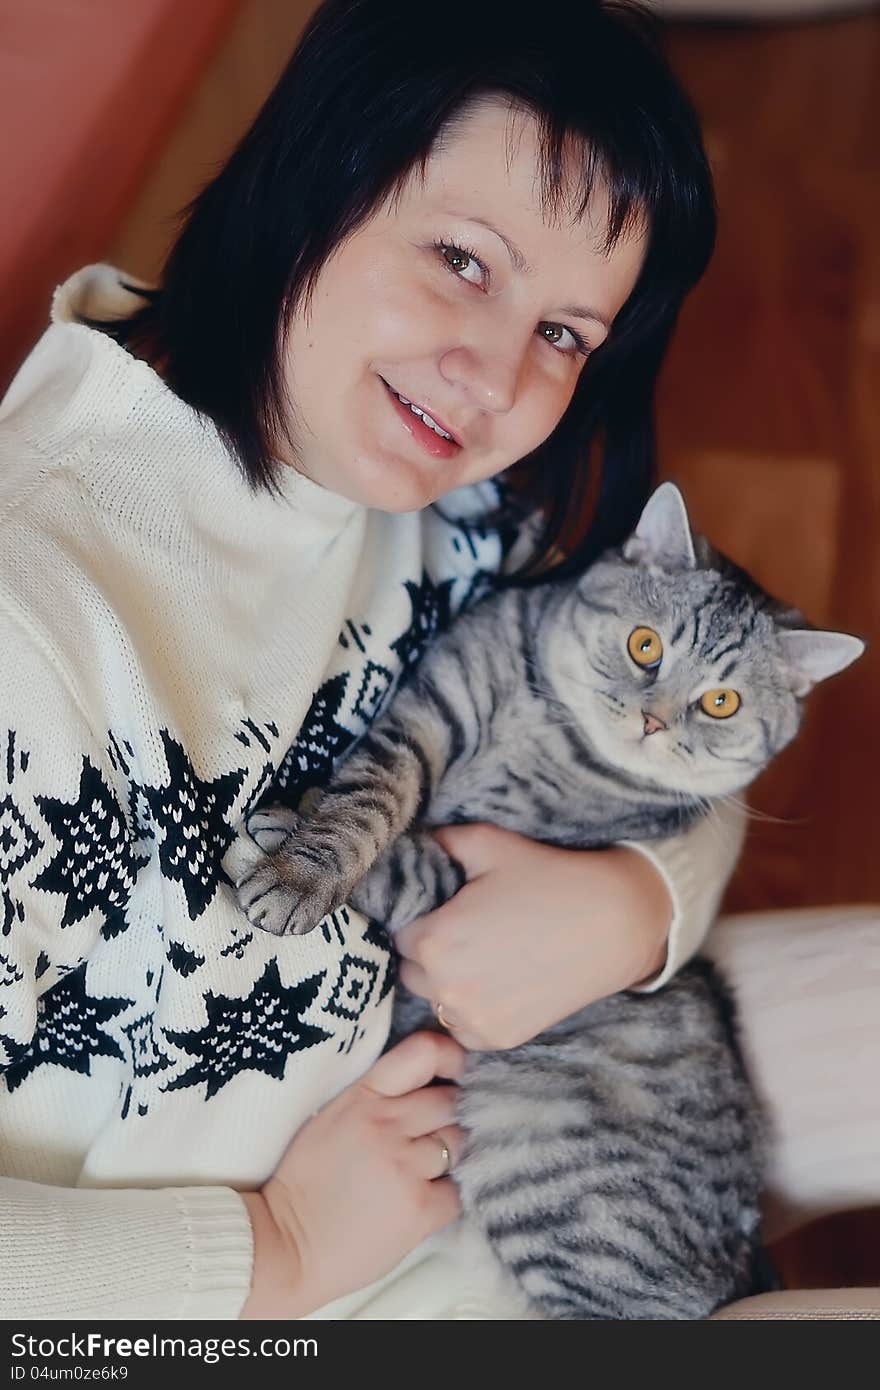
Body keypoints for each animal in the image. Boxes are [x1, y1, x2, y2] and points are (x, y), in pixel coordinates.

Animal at [222, 483, 861, 1317]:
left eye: (721, 703)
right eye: (646, 646)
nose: (654, 720)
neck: (543, 731)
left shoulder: (471, 872)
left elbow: (410, 865)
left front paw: (285, 843)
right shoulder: (428, 714)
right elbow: (370, 800)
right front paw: (308, 853)